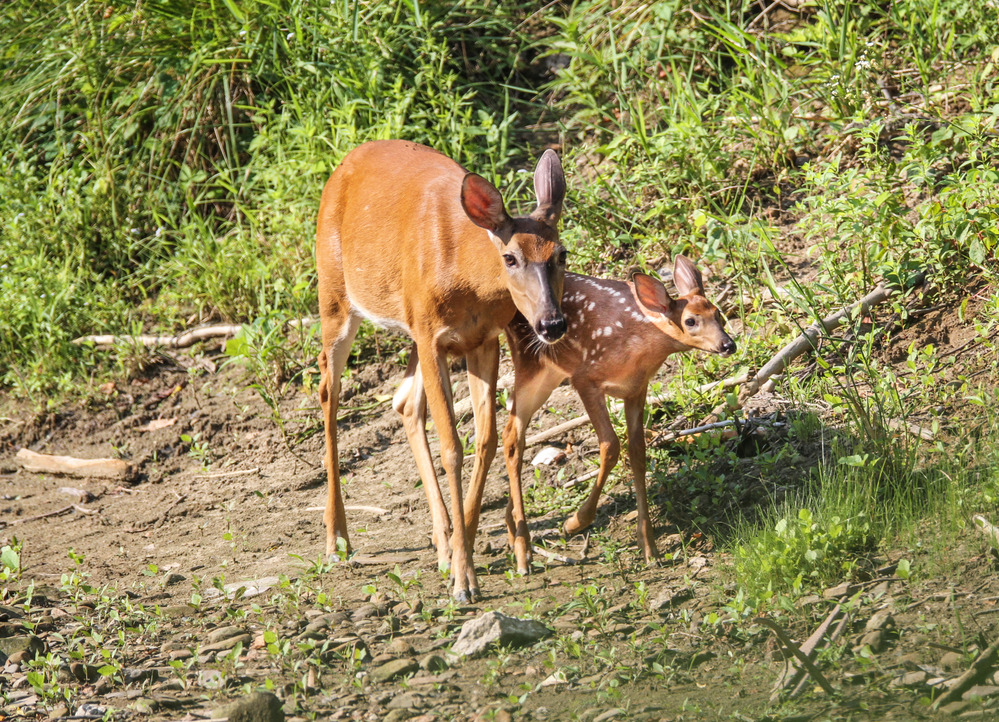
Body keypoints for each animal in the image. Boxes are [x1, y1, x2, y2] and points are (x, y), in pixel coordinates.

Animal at [315, 140, 567, 602]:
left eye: (561, 254)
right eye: (510, 257)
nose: (552, 323)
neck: (467, 275)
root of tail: (344, 163)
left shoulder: (481, 340)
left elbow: (485, 440)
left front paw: (460, 552)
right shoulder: (433, 335)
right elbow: (452, 445)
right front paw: (465, 582)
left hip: (410, 328)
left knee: (403, 403)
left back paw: (442, 541)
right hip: (336, 295)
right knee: (328, 390)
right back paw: (337, 538)